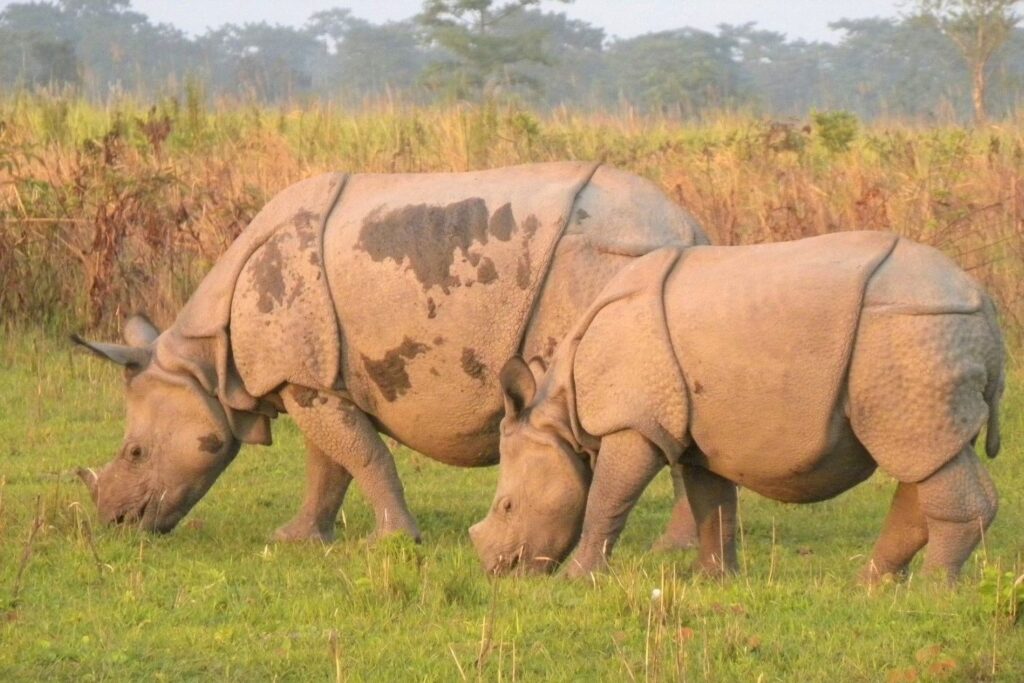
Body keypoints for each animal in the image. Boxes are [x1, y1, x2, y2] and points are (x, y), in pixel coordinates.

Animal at [72, 162, 709, 543]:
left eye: (134, 452)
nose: (116, 522)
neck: (205, 359)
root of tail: (690, 230)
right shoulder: (314, 377)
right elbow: (329, 464)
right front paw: (296, 540)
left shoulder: (302, 377)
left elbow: (362, 456)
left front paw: (394, 540)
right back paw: (678, 549)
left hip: (606, 261)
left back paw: (668, 549)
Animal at [471, 232, 1005, 583]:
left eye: (507, 506)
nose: (498, 569)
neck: (562, 417)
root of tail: (984, 302)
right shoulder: (697, 437)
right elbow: (712, 504)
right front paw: (712, 580)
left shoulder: (635, 423)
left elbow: (607, 499)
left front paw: (578, 580)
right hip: (923, 343)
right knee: (929, 457)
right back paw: (873, 587)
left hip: (912, 332)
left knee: (923, 457)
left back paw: (932, 592)